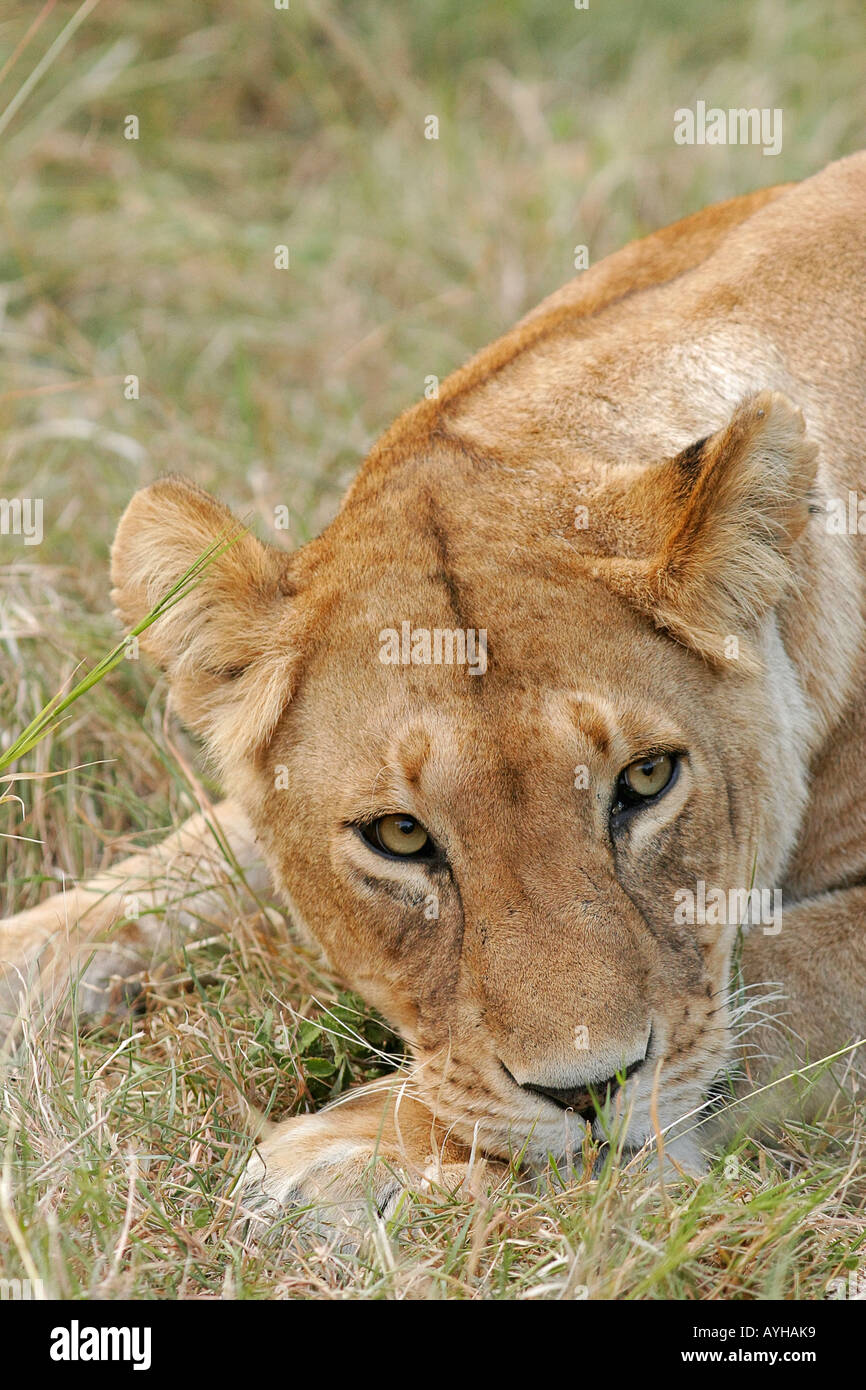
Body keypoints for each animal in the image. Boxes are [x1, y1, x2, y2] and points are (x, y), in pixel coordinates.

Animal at [2, 153, 865, 1226]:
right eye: (400, 836)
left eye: (649, 780)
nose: (588, 1091)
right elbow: (172, 870)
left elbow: (780, 976)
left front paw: (350, 1151)